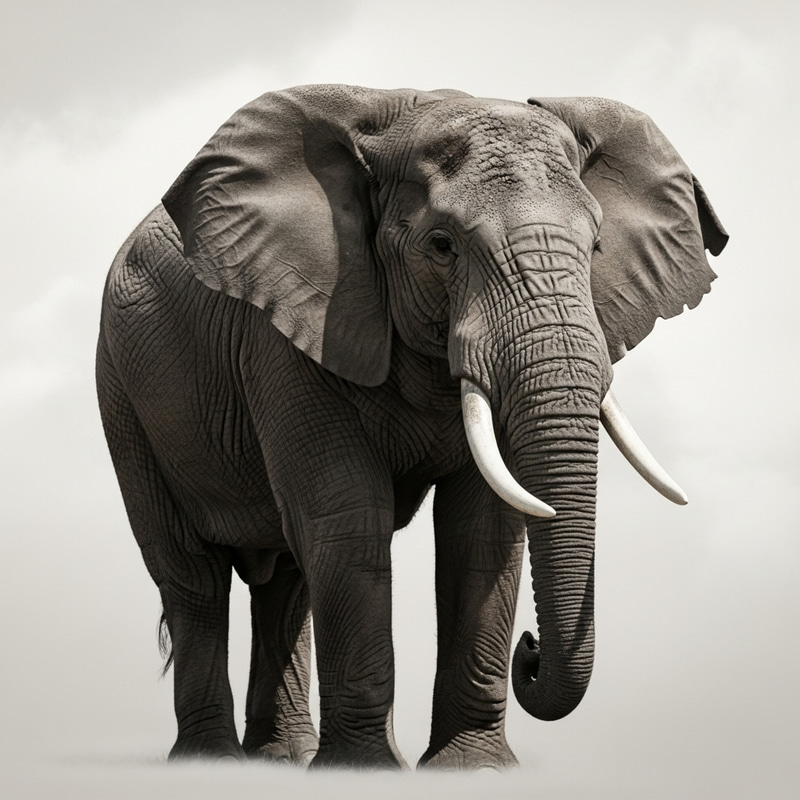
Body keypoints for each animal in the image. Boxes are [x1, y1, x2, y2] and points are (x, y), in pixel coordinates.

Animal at [96, 85, 727, 770]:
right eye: (442, 244)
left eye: (595, 247)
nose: (530, 650)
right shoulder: (289, 331)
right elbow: (347, 518)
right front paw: (366, 771)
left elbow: (481, 531)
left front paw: (474, 769)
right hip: (124, 397)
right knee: (194, 577)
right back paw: (212, 761)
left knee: (286, 582)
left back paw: (283, 758)